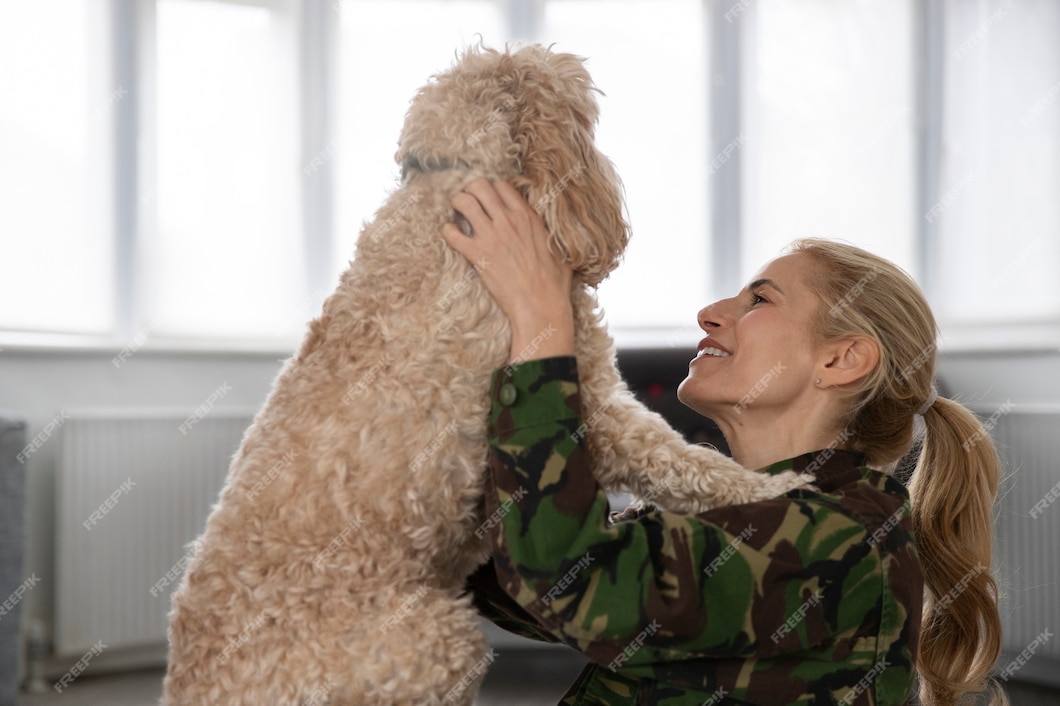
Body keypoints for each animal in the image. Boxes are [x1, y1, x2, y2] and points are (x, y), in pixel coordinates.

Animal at [161, 43, 801, 703]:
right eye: (585, 110)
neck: (453, 184)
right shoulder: (597, 406)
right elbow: (683, 460)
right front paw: (776, 486)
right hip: (434, 641)